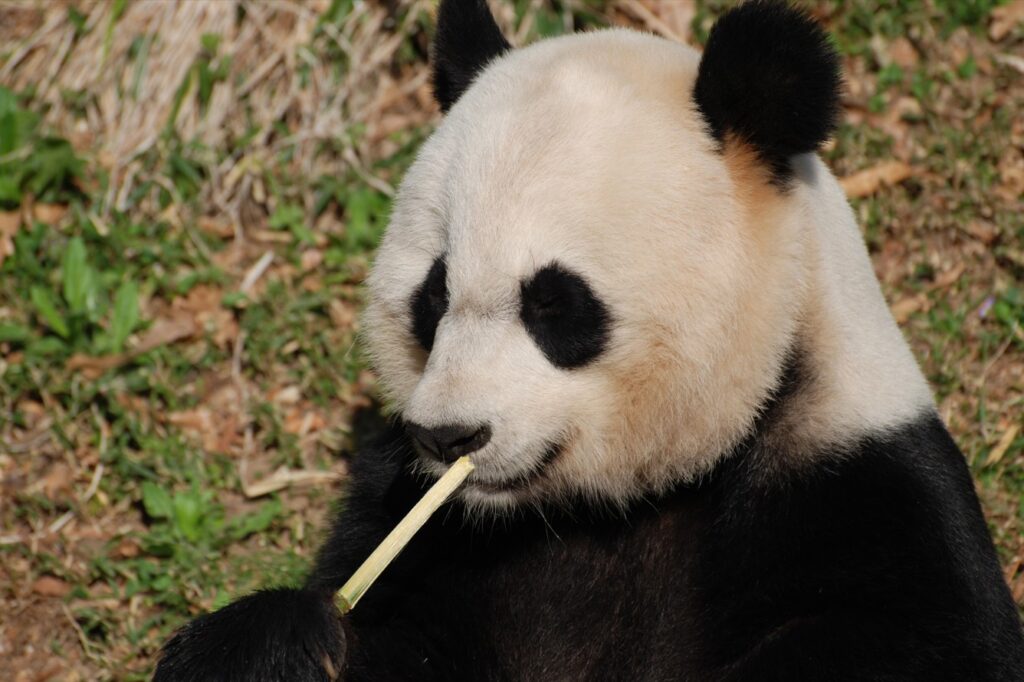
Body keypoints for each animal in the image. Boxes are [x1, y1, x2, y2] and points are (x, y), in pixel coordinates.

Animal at [154, 1, 1024, 680]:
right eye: (433, 296)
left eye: (555, 304)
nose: (448, 436)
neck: (607, 507)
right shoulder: (421, 521)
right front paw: (277, 643)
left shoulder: (860, 484)